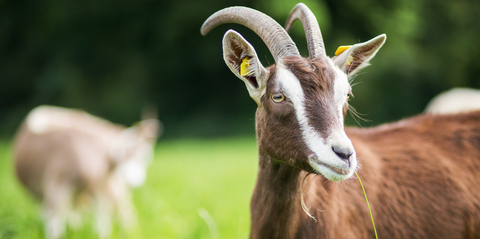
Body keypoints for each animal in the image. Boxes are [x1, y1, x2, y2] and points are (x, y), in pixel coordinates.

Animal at [11, 105, 159, 239]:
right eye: (126, 153)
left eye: (145, 156)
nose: (135, 181)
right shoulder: (56, 185)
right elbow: (55, 226)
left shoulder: (100, 189)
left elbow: (102, 225)